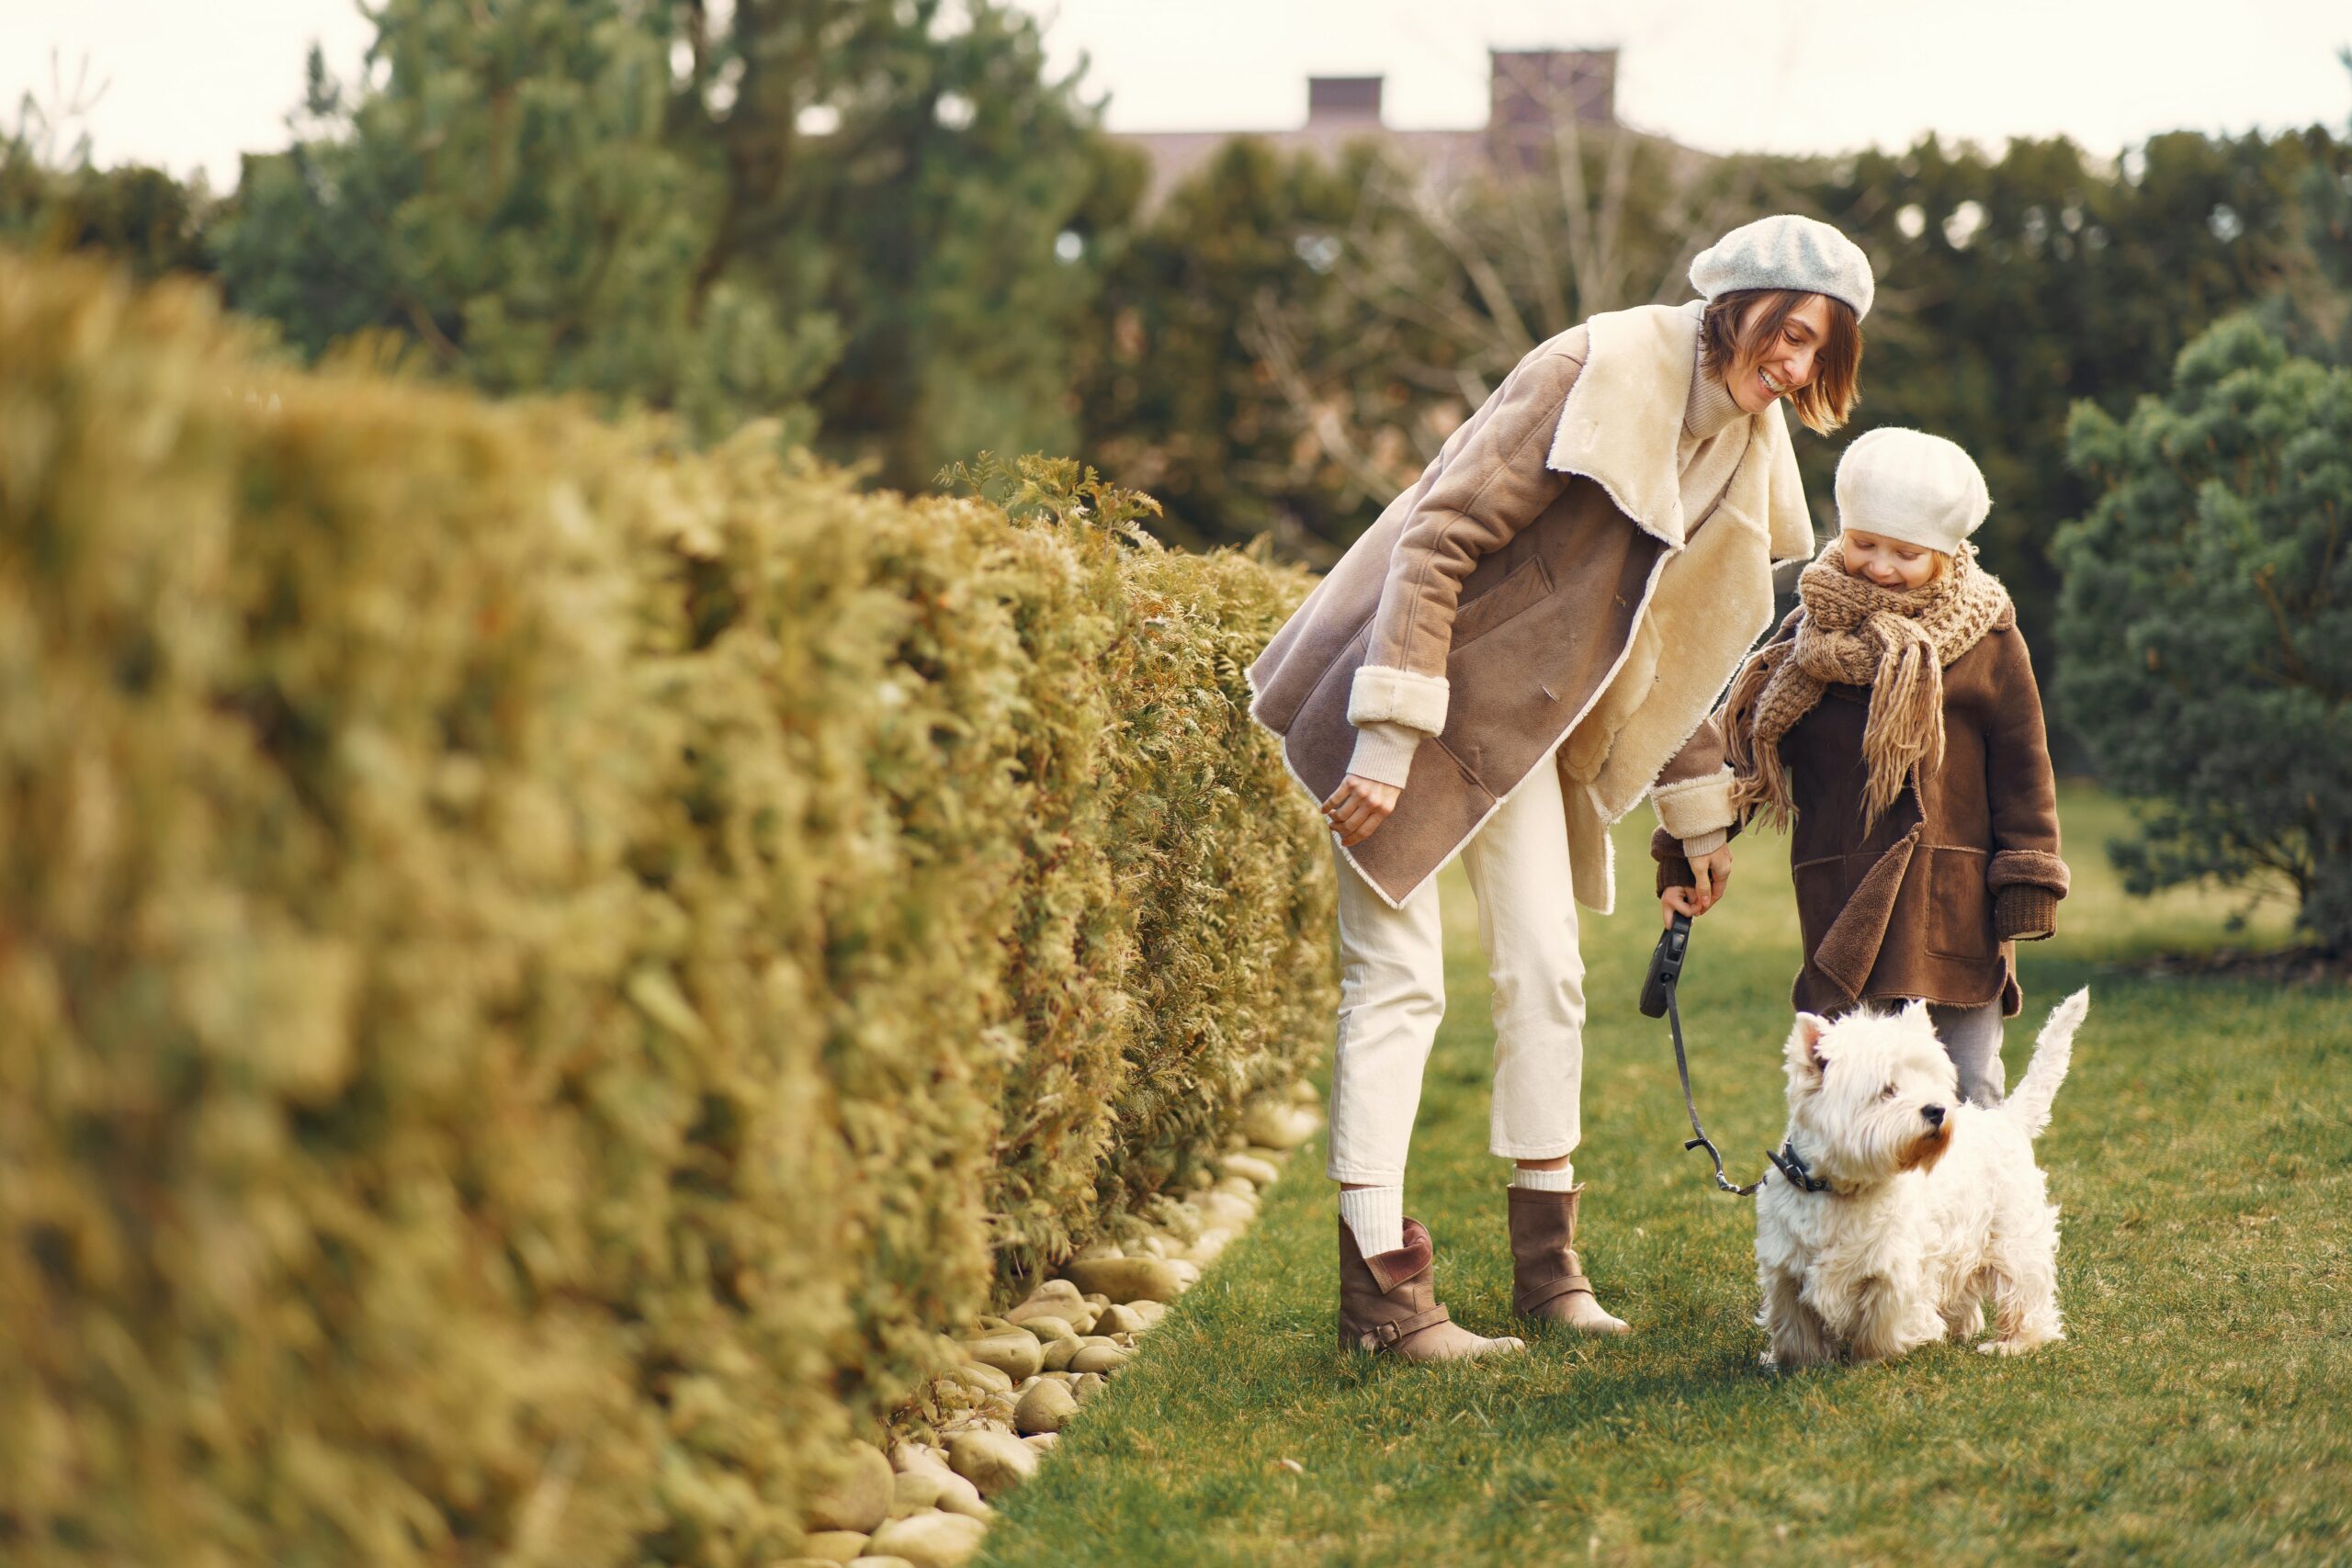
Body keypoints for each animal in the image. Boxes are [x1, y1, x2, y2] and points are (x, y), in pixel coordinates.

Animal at [1749, 991, 2098, 1372]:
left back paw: (2012, 1344)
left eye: (1930, 1081)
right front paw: (1797, 1365)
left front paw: (1871, 1362)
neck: (1839, 1188)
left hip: (2012, 1235)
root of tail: (2007, 1119)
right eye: (1888, 1090)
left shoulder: (1893, 1270)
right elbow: (1797, 1330)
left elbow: (1880, 1324)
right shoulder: (1786, 1271)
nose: (1937, 1110)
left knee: (2024, 1289)